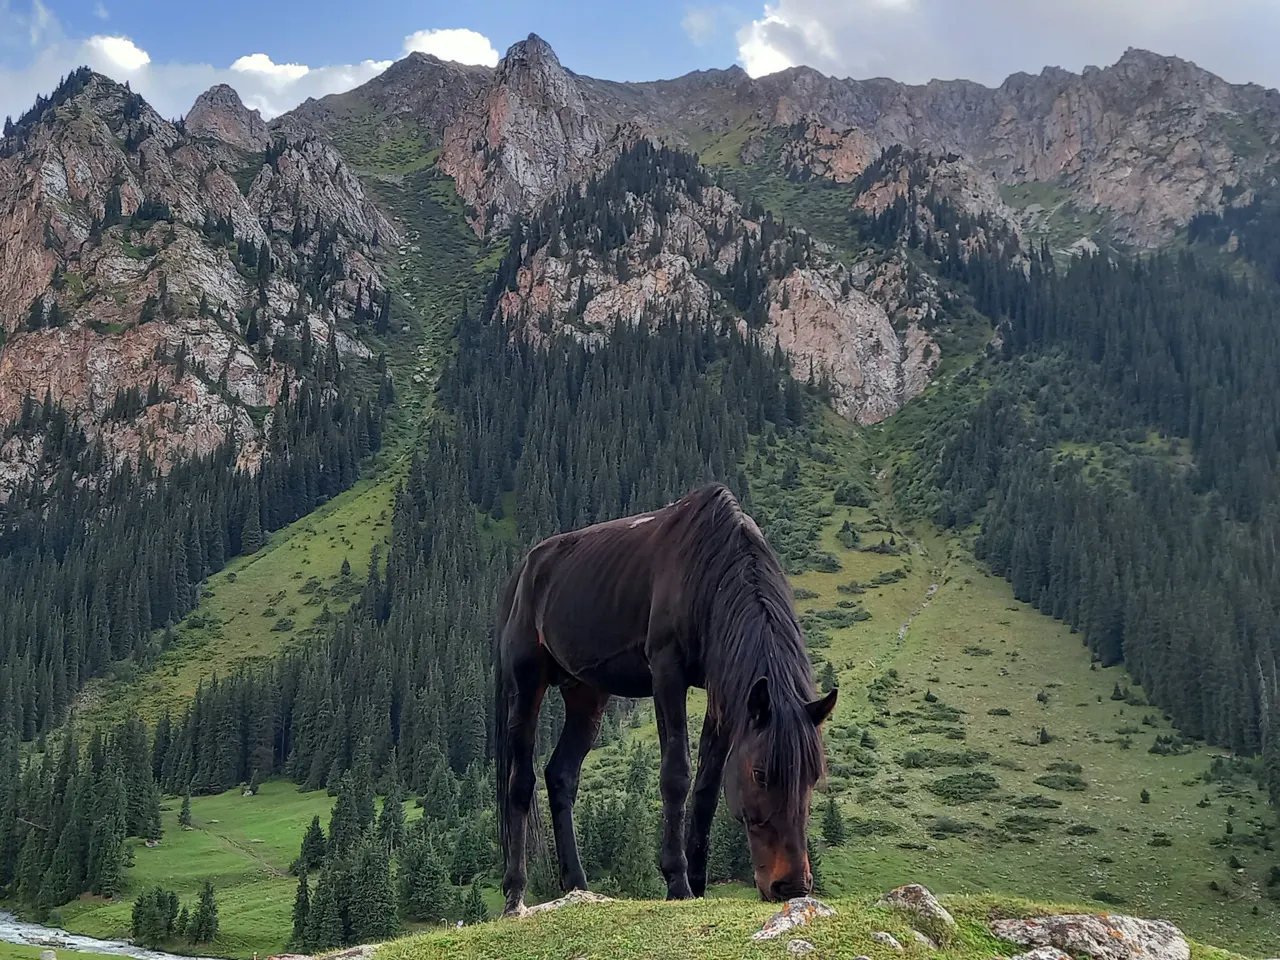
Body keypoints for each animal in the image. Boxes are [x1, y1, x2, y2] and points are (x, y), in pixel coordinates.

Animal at [493, 481, 837, 915]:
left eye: (812, 776)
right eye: (760, 774)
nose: (791, 886)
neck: (710, 572)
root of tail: (525, 569)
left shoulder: (725, 697)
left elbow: (706, 787)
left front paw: (699, 883)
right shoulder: (667, 673)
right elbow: (676, 775)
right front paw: (677, 881)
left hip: (586, 693)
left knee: (561, 776)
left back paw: (576, 886)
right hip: (526, 685)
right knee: (520, 782)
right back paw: (515, 894)